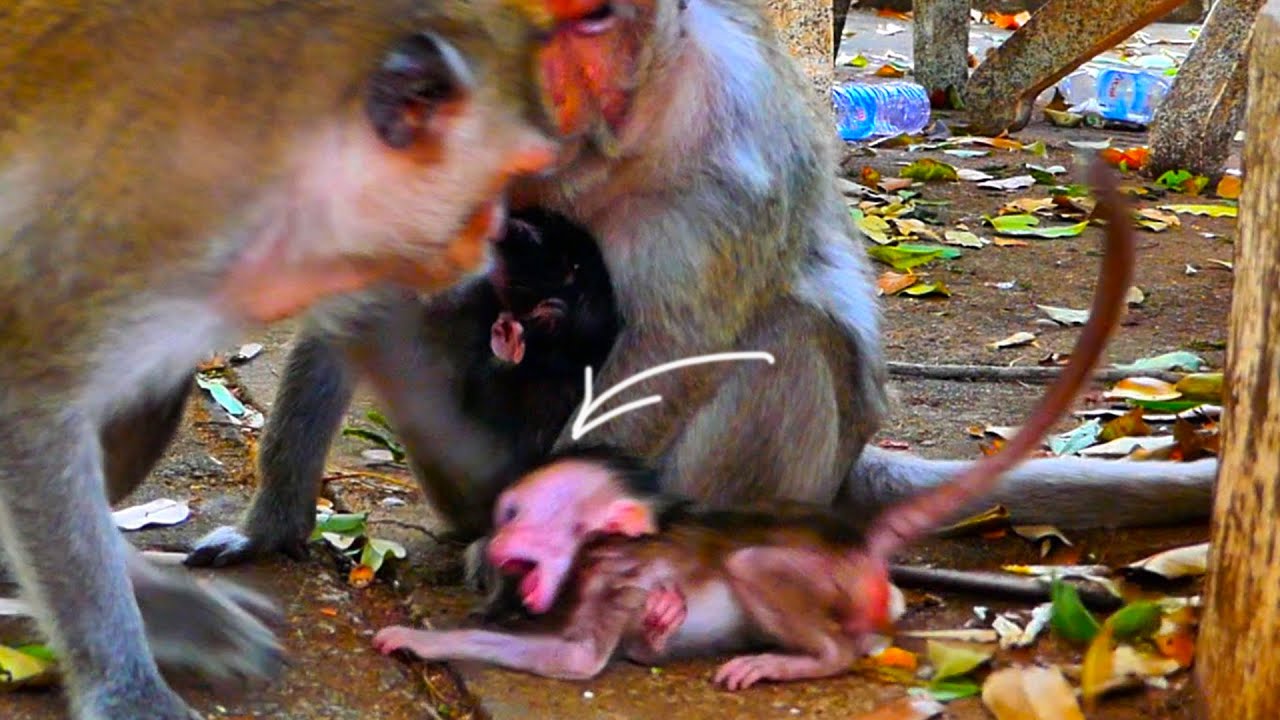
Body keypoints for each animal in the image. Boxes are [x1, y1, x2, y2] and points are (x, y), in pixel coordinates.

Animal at [187, 0, 1216, 579]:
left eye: (594, 25)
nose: (544, 86)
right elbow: (369, 286)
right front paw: (272, 525)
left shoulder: (731, 158)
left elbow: (671, 356)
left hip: (784, 469)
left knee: (783, 340)